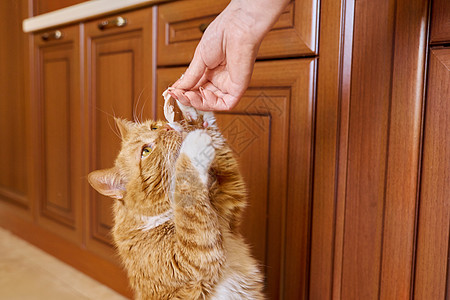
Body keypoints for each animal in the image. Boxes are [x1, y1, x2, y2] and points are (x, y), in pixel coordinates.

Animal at [87, 110, 264, 300]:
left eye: (154, 127)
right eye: (146, 151)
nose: (167, 127)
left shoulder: (230, 199)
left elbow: (226, 163)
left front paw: (198, 114)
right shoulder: (189, 259)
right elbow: (186, 184)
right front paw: (193, 142)